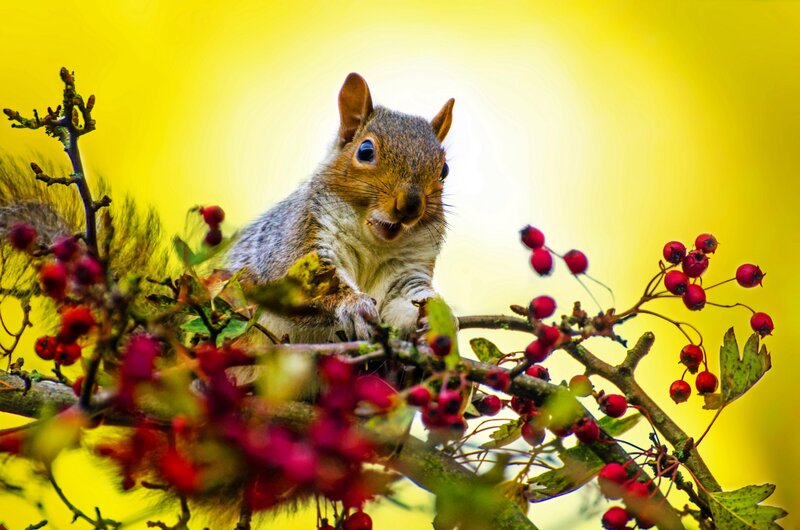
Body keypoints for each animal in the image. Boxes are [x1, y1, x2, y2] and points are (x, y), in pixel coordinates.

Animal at [228, 73, 455, 343]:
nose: (410, 205)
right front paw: (354, 304)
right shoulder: (295, 242)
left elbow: (404, 301)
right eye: (365, 151)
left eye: (444, 171)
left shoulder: (406, 270)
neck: (374, 247)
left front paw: (437, 317)